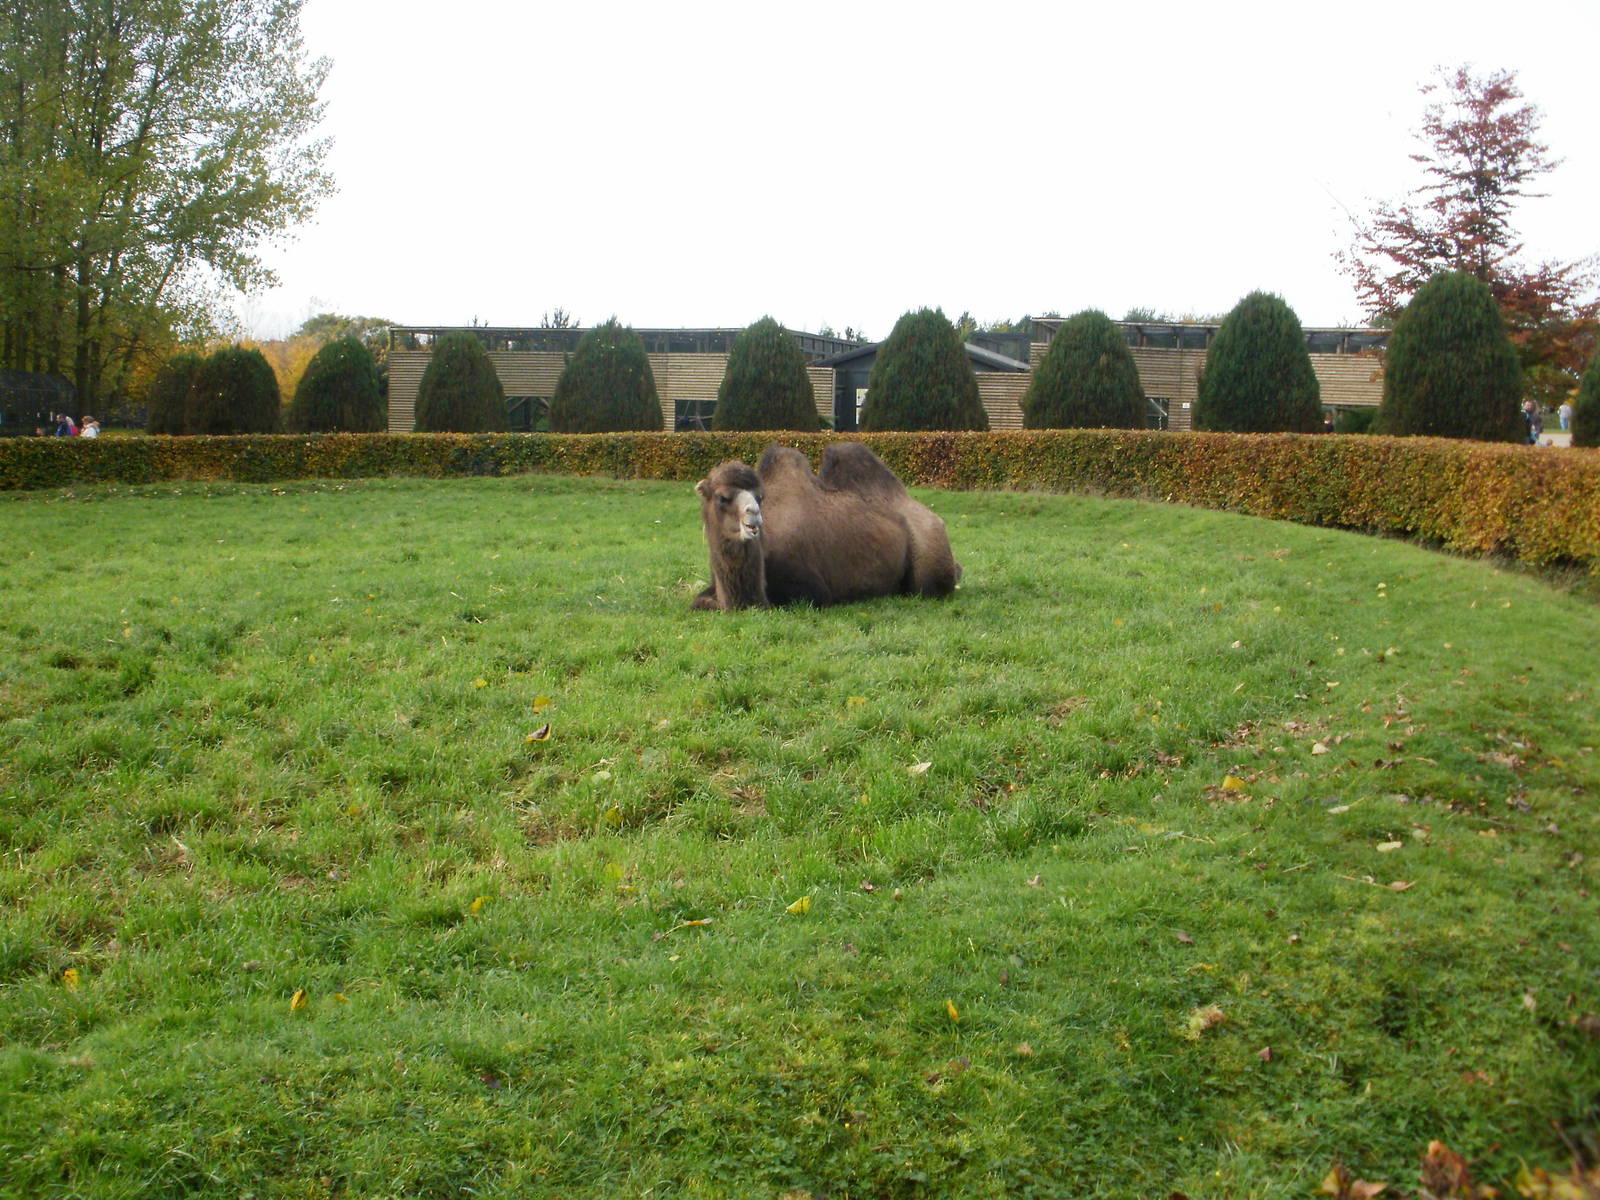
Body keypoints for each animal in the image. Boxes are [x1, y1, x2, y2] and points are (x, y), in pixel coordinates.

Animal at [692, 442, 962, 610]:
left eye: (760, 497)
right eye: (722, 497)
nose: (754, 515)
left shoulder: (812, 591)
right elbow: (698, 602)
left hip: (929, 555)